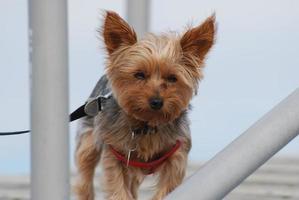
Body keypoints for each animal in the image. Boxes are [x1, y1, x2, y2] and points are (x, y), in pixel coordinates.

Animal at [74, 10, 216, 200]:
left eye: (172, 78)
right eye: (139, 75)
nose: (156, 101)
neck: (147, 125)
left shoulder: (177, 154)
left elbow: (168, 186)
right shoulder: (114, 154)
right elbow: (118, 188)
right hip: (89, 138)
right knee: (85, 169)